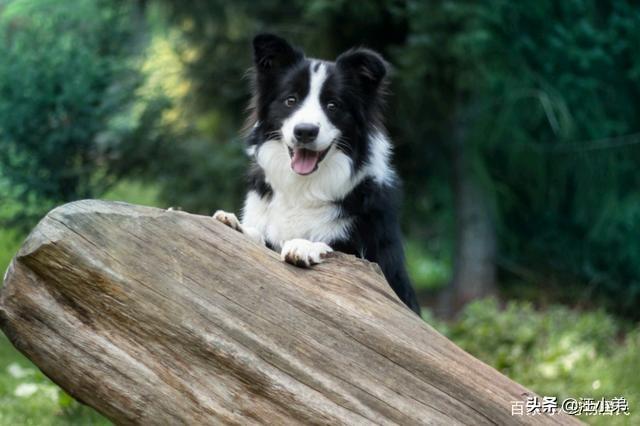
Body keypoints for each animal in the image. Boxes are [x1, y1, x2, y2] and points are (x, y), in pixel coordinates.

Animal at [218, 35, 422, 314]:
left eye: (333, 105)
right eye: (290, 100)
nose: (305, 131)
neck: (303, 187)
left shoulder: (375, 261)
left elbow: (336, 249)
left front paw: (303, 245)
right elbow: (260, 236)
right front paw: (235, 224)